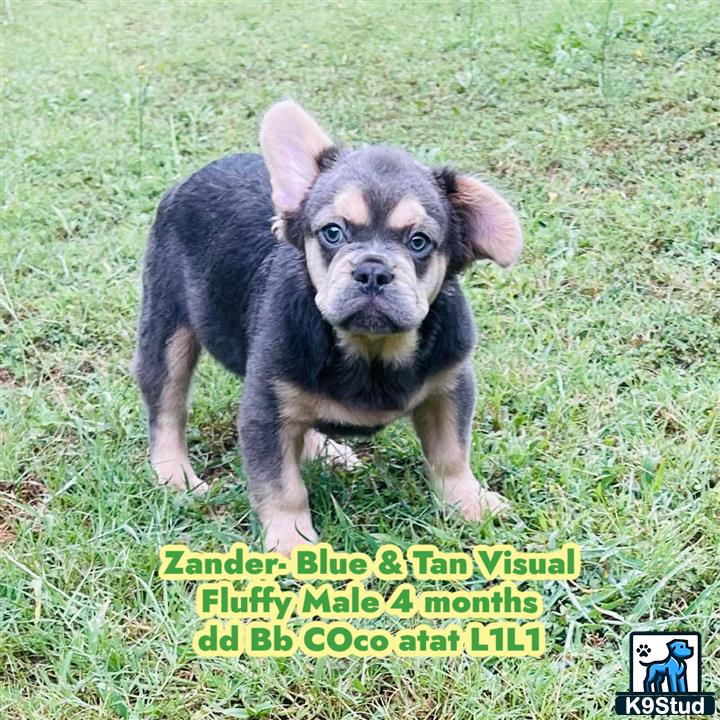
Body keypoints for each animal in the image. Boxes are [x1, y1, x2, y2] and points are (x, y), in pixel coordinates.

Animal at [136, 98, 524, 556]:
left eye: (419, 242)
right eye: (333, 233)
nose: (372, 270)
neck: (371, 351)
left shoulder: (450, 385)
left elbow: (452, 452)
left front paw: (469, 502)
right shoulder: (265, 411)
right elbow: (281, 485)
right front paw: (291, 544)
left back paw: (326, 450)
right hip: (167, 327)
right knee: (167, 406)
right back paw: (173, 474)